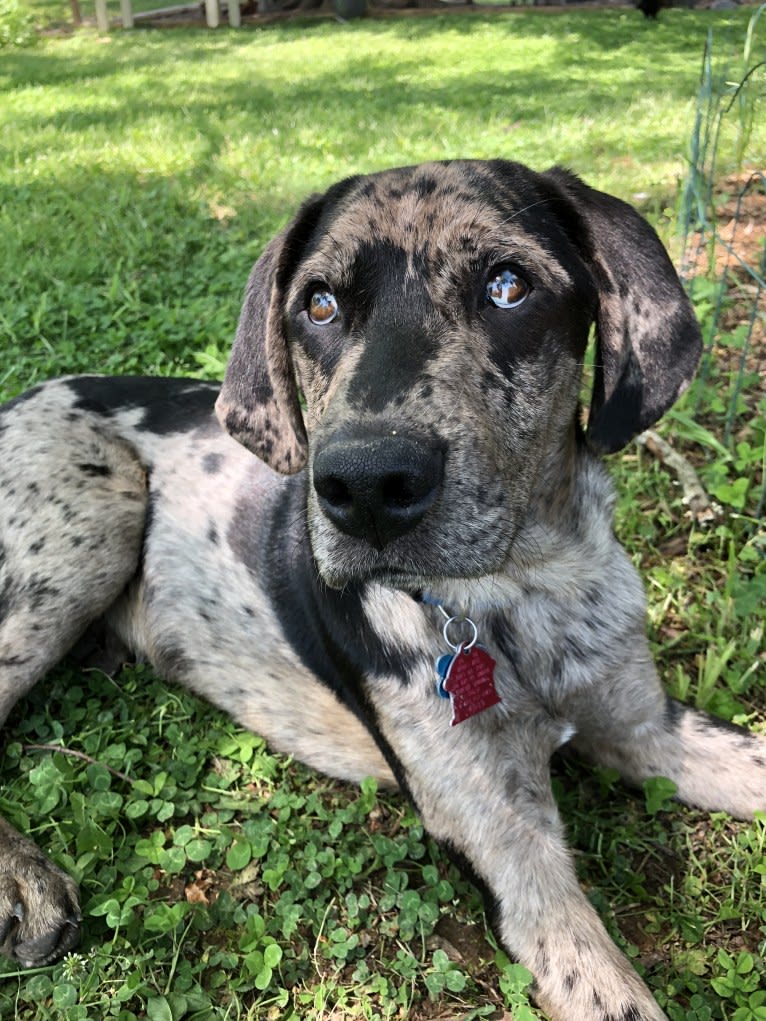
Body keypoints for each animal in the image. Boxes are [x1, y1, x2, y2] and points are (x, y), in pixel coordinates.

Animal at [1, 161, 766, 1021]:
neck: (524, 589)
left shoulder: (647, 724)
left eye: (508, 285)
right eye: (318, 303)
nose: (365, 486)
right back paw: (23, 881)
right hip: (91, 521)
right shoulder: (508, 848)